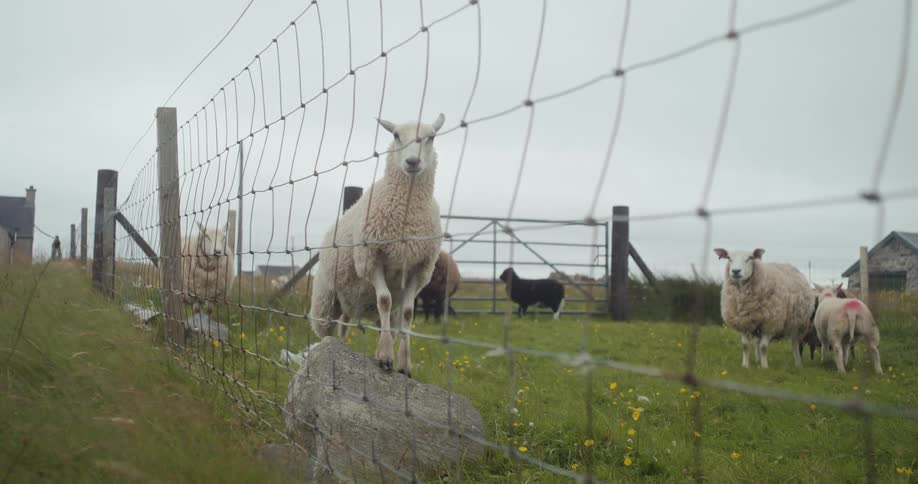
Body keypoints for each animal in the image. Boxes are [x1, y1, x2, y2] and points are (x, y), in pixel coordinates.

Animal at [308, 114, 446, 377]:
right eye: (396, 135)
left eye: (432, 137)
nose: (412, 161)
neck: (408, 213)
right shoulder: (370, 259)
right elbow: (384, 300)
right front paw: (385, 357)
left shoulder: (419, 268)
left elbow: (408, 313)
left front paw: (404, 364)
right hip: (326, 300)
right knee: (327, 331)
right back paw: (329, 351)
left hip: (349, 305)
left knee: (348, 325)